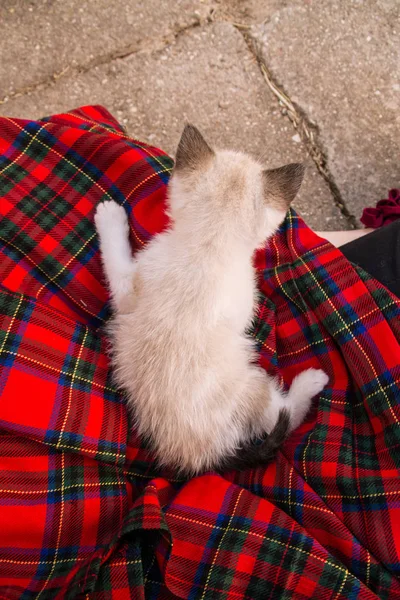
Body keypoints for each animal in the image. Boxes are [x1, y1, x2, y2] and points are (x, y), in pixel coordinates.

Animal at [94, 125, 328, 474]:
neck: (209, 245)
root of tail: (204, 458)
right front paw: (109, 217)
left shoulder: (129, 289)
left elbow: (115, 259)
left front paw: (108, 218)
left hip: (251, 388)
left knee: (284, 416)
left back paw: (312, 380)